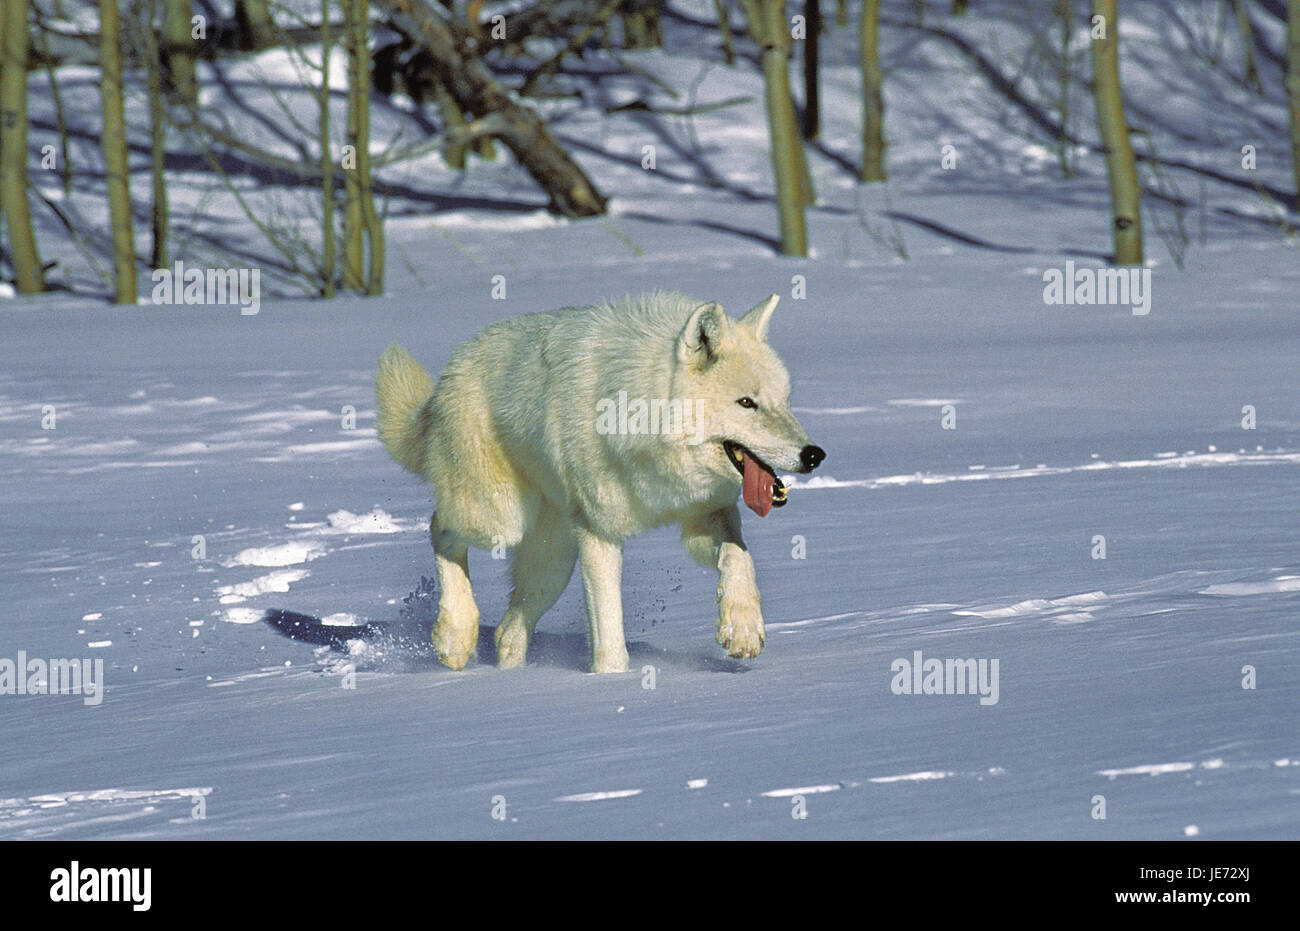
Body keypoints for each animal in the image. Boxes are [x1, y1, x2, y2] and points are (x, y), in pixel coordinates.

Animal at [374, 292, 825, 674]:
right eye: (746, 403)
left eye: (784, 401)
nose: (814, 455)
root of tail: (448, 374)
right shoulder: (599, 535)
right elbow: (609, 638)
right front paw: (610, 684)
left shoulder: (705, 514)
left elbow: (739, 557)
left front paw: (743, 628)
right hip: (501, 521)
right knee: (439, 526)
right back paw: (455, 636)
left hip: (552, 563)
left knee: (508, 630)